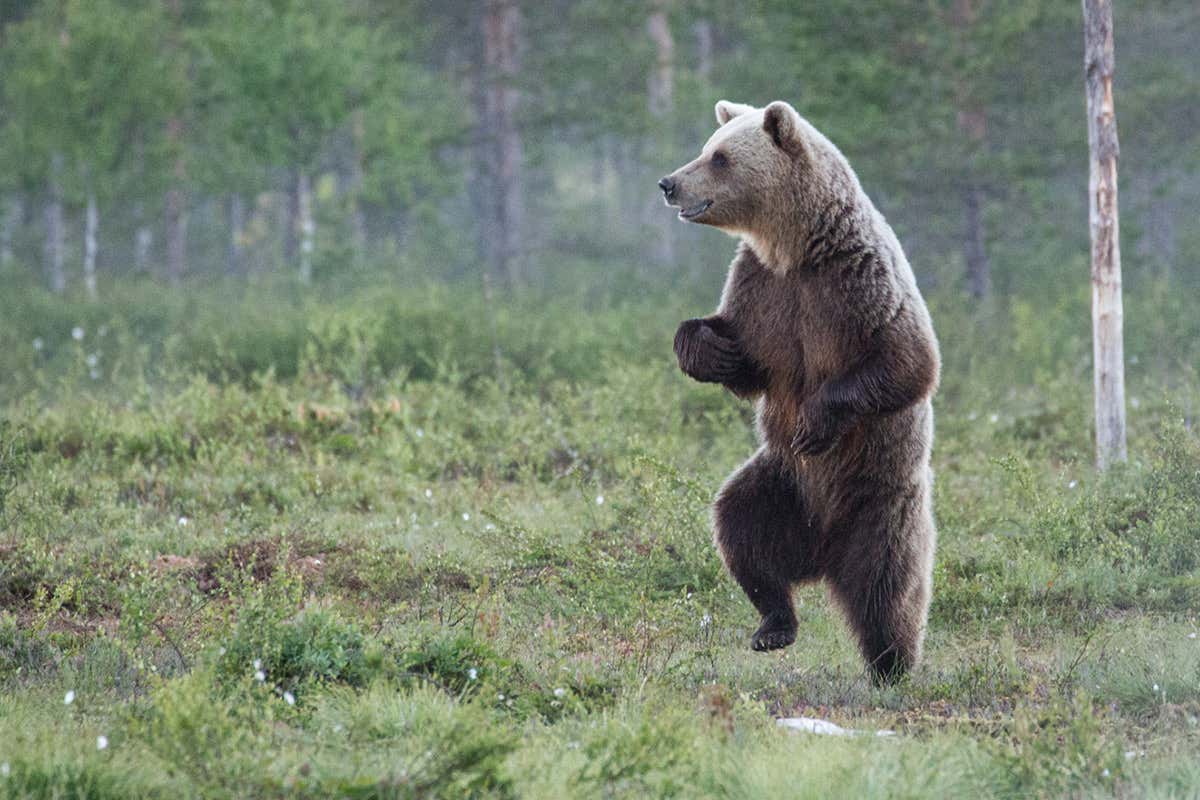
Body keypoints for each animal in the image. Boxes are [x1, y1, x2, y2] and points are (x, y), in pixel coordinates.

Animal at [659, 100, 940, 684]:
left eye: (719, 157)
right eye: (707, 147)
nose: (668, 183)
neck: (795, 248)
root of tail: (823, 554)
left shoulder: (856, 282)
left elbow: (908, 360)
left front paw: (816, 421)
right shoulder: (762, 290)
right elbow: (747, 358)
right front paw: (708, 349)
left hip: (880, 501)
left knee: (888, 587)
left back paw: (892, 665)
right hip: (781, 484)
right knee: (739, 528)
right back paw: (773, 624)